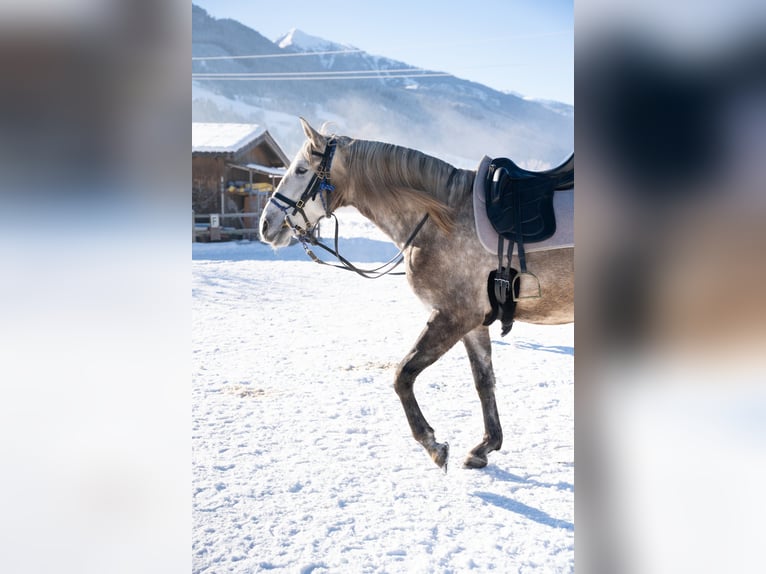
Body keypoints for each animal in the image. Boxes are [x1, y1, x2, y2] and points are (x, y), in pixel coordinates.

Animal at [260, 118, 572, 472]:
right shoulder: (473, 324)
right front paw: (486, 446)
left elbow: (402, 375)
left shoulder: (453, 317)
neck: (442, 219)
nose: (266, 224)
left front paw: (433, 445)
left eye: (301, 170)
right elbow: (483, 380)